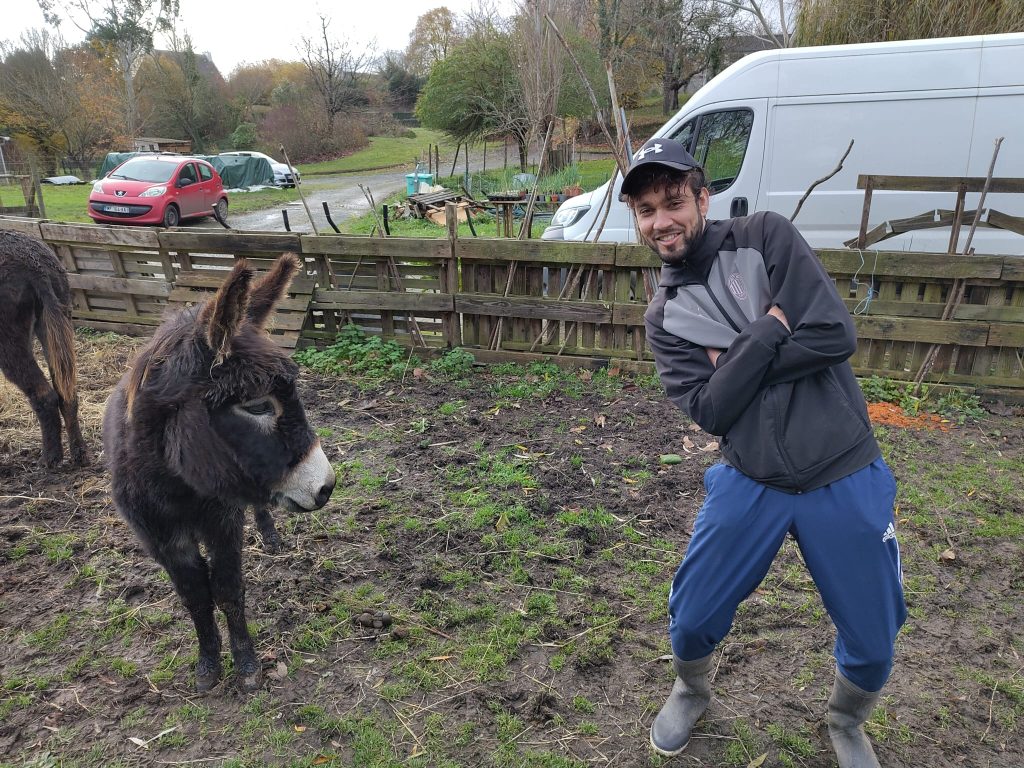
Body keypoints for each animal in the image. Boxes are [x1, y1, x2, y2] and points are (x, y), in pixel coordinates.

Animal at [0, 231, 88, 467]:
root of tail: (35, 266)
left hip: (9, 340)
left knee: (45, 396)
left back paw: (51, 459)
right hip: (56, 323)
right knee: (67, 394)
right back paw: (79, 455)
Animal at [103, 253, 336, 692]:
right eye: (257, 406)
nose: (326, 487)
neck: (178, 485)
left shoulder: (223, 520)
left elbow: (227, 590)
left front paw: (246, 666)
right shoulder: (159, 536)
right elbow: (195, 598)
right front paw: (208, 665)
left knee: (258, 508)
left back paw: (270, 535)